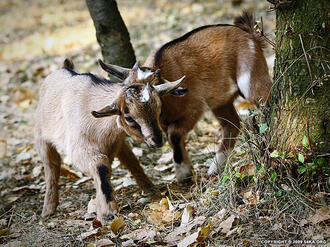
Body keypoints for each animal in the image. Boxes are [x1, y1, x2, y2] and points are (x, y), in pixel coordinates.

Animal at [34, 58, 187, 221]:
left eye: (159, 110)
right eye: (129, 117)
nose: (157, 140)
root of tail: (63, 68)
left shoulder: (116, 142)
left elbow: (130, 162)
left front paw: (153, 193)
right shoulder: (78, 148)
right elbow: (101, 166)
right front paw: (108, 212)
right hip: (41, 138)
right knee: (51, 164)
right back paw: (48, 210)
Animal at [98, 11, 274, 183]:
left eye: (156, 99)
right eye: (128, 116)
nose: (154, 141)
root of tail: (250, 34)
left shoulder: (193, 109)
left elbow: (174, 136)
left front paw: (183, 173)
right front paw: (186, 172)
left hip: (250, 77)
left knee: (266, 99)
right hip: (220, 101)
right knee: (232, 124)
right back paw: (216, 167)